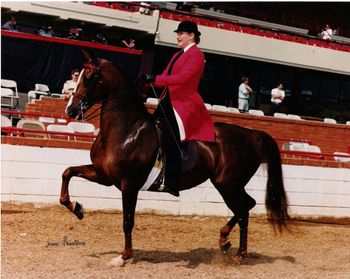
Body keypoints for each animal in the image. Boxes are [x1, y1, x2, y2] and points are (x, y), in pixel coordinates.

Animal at [60, 49, 290, 266]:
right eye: (77, 77)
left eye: (90, 77)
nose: (70, 110)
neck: (126, 130)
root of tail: (252, 134)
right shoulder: (104, 175)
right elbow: (67, 173)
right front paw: (77, 208)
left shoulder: (129, 184)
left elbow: (127, 221)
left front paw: (124, 256)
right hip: (229, 184)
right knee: (247, 207)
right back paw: (230, 246)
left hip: (227, 184)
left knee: (243, 208)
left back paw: (233, 248)